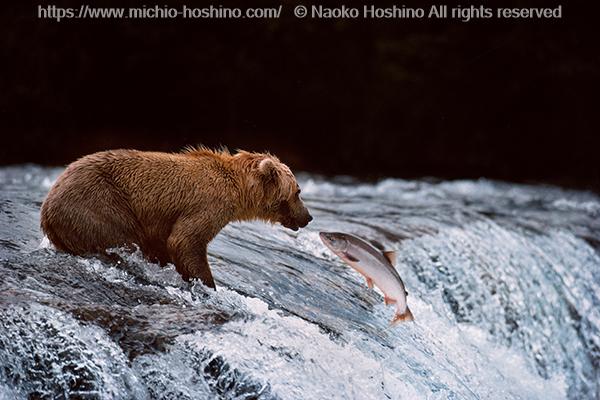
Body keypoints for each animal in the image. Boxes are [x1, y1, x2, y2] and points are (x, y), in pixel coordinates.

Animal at [41, 147, 314, 288]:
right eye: (298, 191)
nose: (308, 217)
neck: (239, 190)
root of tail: (47, 212)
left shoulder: (161, 224)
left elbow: (164, 244)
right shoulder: (208, 206)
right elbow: (185, 241)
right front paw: (208, 284)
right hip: (100, 203)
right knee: (120, 236)